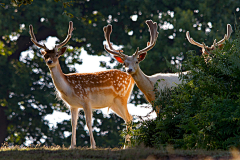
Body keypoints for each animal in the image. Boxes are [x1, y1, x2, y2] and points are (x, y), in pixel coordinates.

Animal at [28, 21, 134, 149]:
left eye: (57, 55)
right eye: (45, 56)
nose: (49, 61)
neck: (68, 88)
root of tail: (132, 78)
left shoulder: (86, 100)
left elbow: (88, 123)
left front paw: (93, 146)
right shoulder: (73, 105)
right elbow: (73, 123)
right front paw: (72, 146)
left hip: (122, 97)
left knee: (129, 118)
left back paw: (126, 146)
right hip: (113, 103)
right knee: (129, 118)